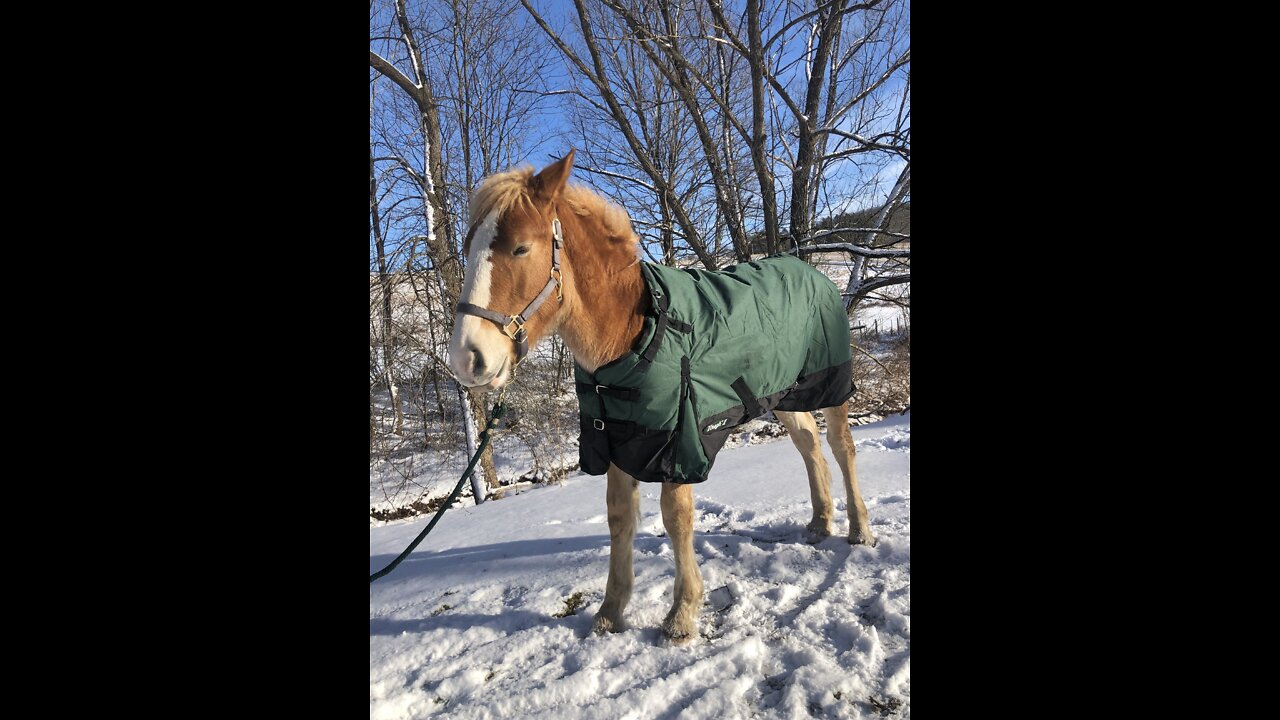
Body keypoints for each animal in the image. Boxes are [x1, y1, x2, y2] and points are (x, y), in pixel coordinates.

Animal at [445, 149, 875, 638]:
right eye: (469, 248)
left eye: (520, 248)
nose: (466, 359)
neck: (631, 335)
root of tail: (810, 271)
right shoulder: (615, 439)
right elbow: (619, 519)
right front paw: (611, 611)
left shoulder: (680, 442)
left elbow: (676, 517)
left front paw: (682, 612)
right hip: (783, 394)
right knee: (809, 445)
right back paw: (820, 522)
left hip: (830, 387)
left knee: (841, 447)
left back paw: (859, 528)